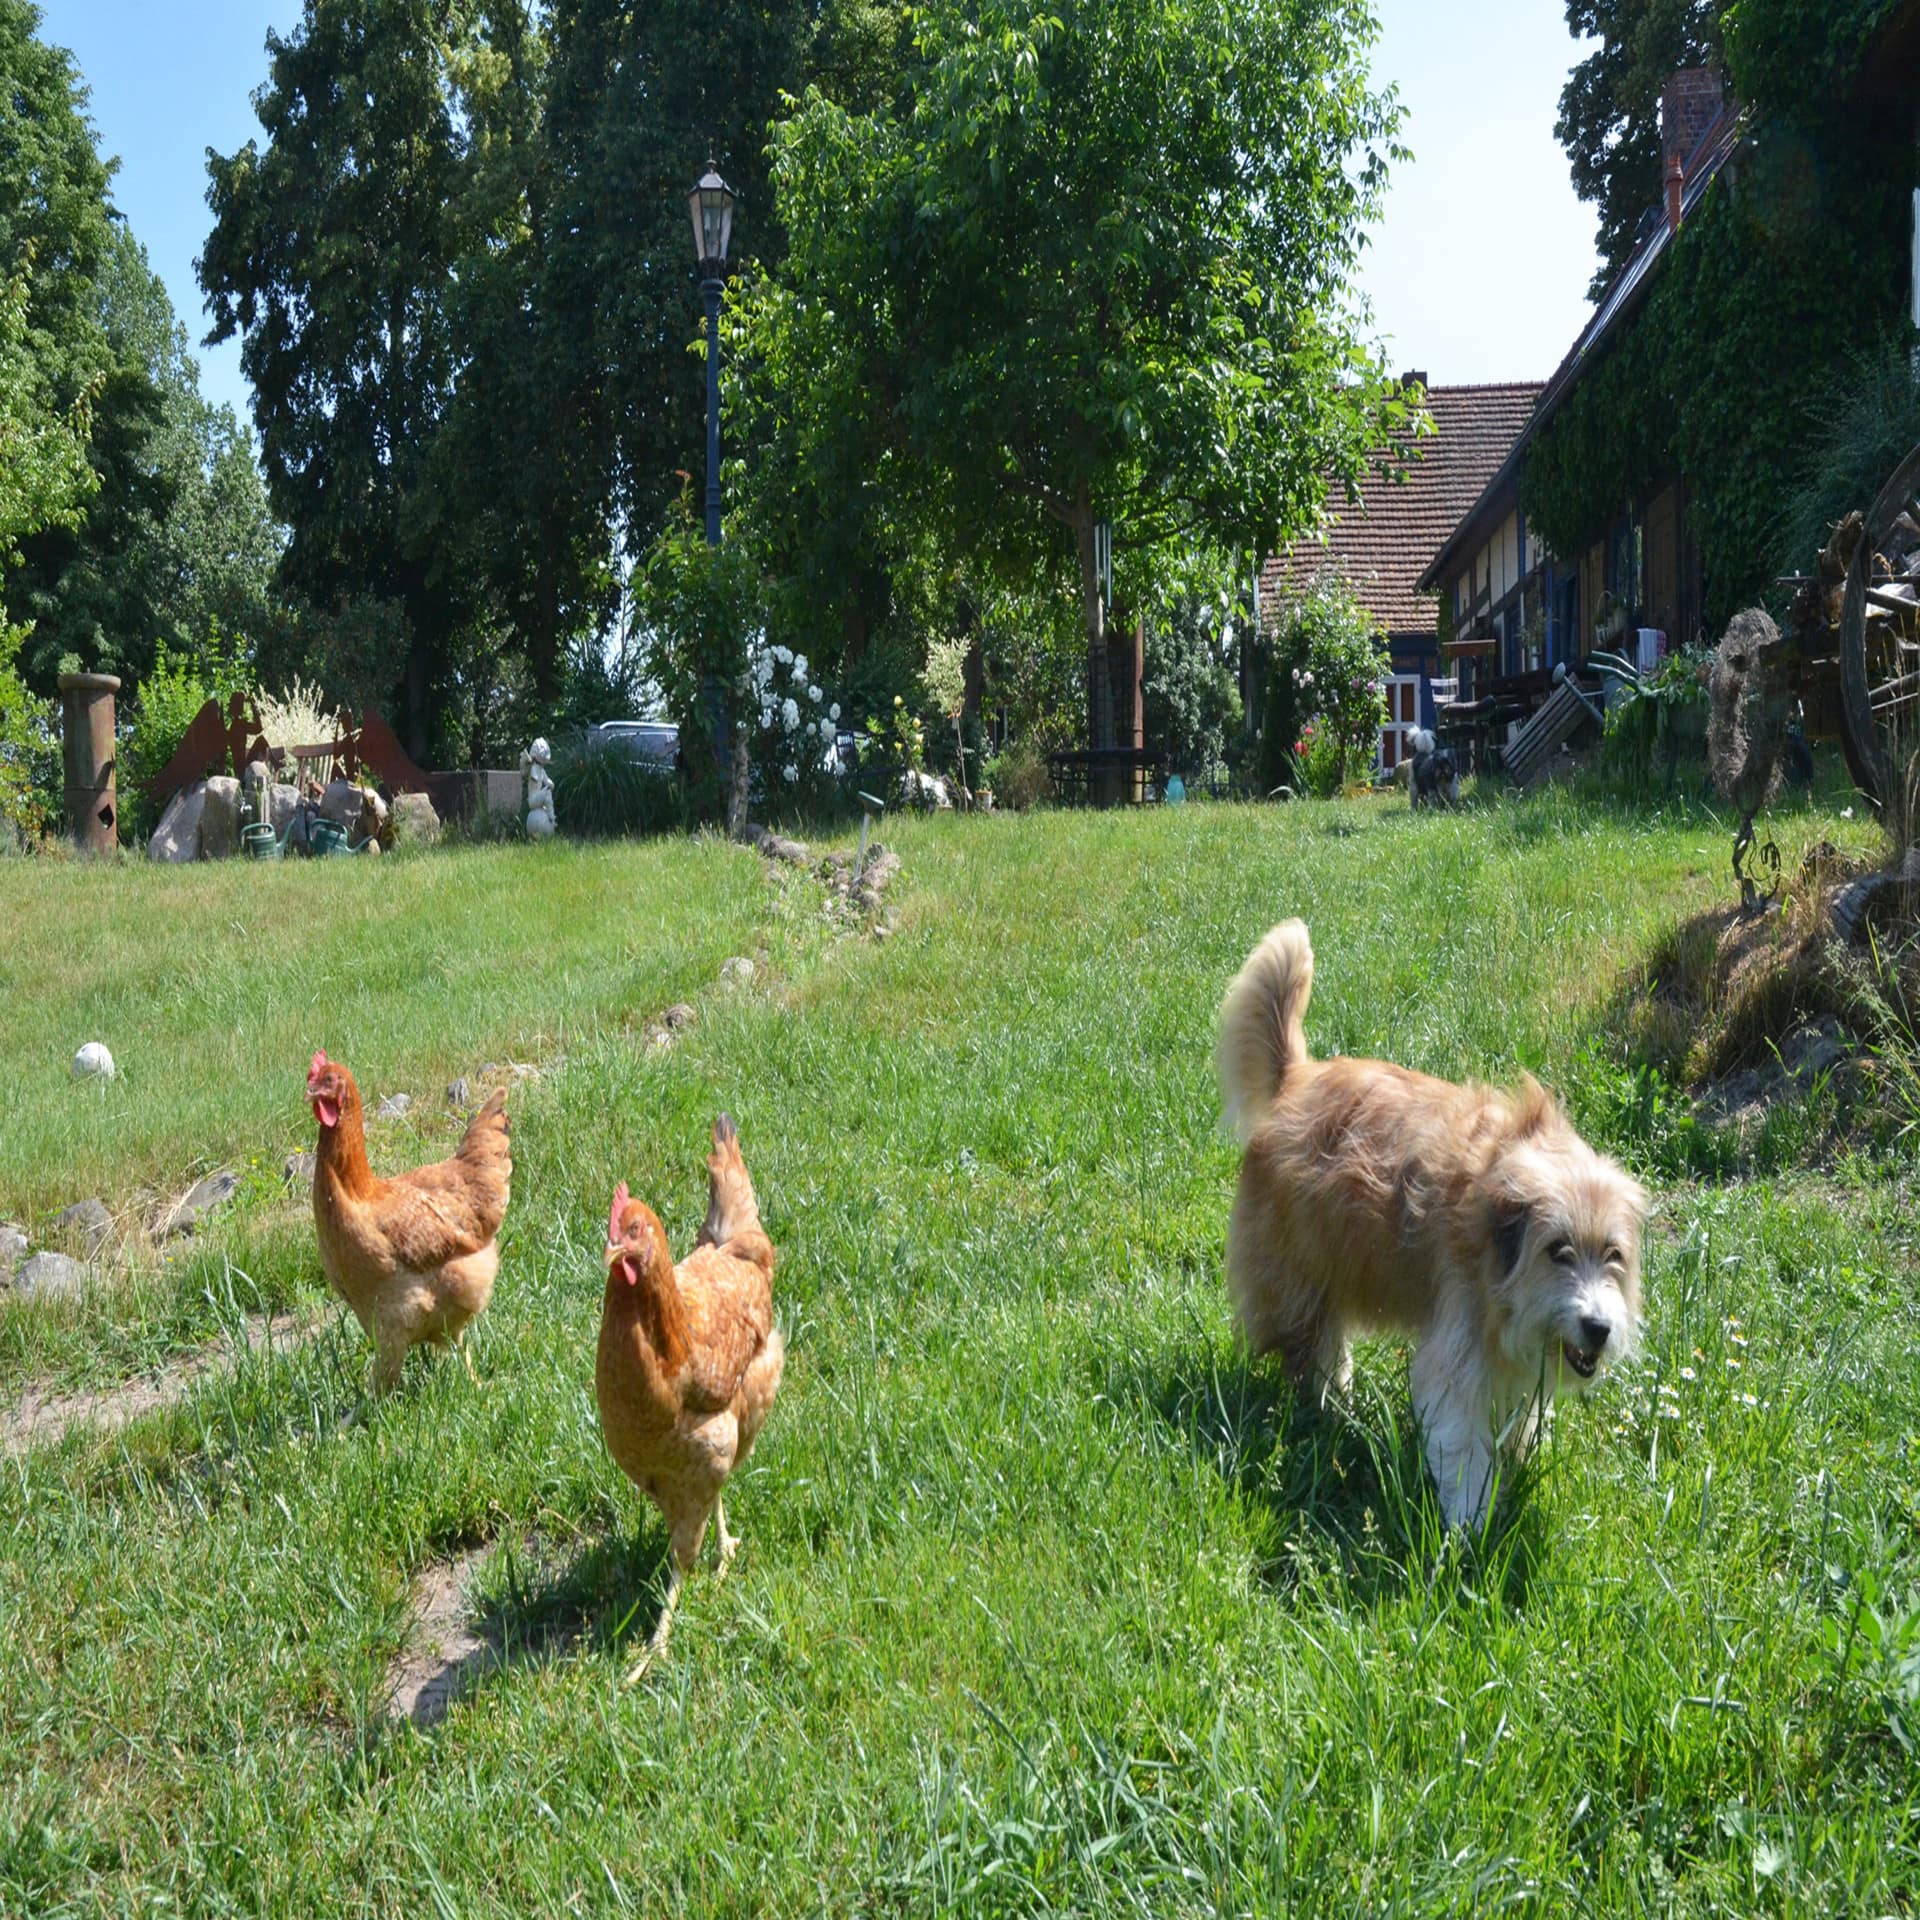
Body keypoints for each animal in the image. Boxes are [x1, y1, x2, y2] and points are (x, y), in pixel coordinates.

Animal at [1213, 917, 1651, 1528]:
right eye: (1558, 1250)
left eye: (1613, 1254)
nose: (1599, 1328)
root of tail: (1294, 1079)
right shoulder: (1458, 1350)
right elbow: (1463, 1442)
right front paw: (1471, 1523)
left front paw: (1523, 1455)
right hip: (1297, 1276)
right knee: (1308, 1351)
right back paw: (1326, 1412)